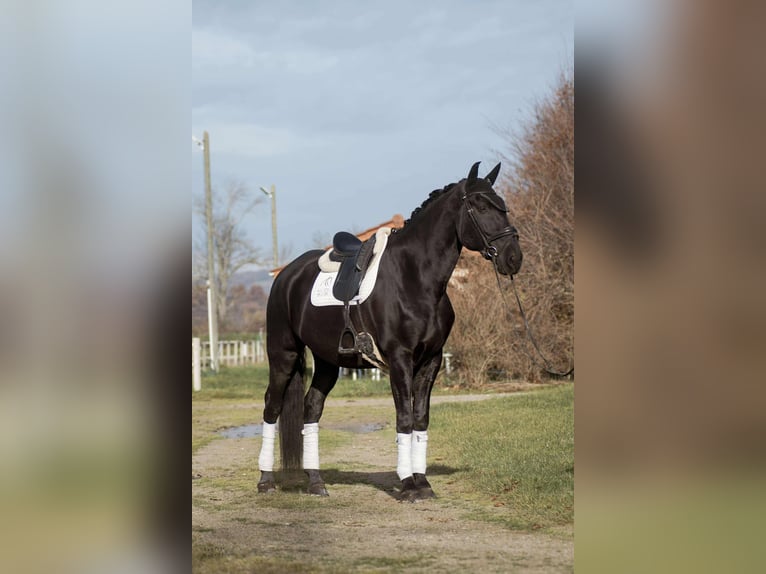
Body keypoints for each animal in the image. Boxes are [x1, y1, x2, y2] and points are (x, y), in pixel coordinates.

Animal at [258, 162, 520, 504]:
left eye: (502, 205)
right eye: (481, 206)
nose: (514, 257)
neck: (415, 277)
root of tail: (286, 275)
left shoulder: (431, 360)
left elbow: (420, 418)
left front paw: (423, 483)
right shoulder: (399, 358)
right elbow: (404, 417)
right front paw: (408, 484)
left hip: (327, 361)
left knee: (311, 408)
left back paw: (316, 482)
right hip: (283, 354)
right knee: (272, 406)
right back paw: (265, 480)